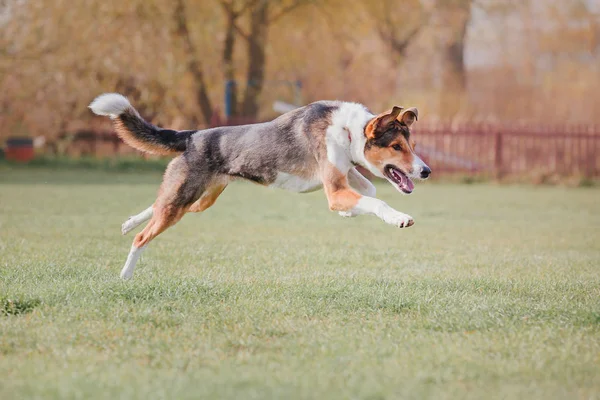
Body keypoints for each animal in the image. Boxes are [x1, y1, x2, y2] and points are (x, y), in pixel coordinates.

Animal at [89, 93, 432, 278]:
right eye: (397, 147)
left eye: (411, 146)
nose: (426, 171)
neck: (349, 130)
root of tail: (193, 135)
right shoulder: (334, 189)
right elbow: (376, 199)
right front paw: (399, 218)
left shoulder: (343, 174)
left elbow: (369, 192)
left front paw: (349, 214)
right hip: (183, 200)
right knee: (143, 237)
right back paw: (125, 275)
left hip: (198, 199)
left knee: (157, 204)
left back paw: (128, 222)